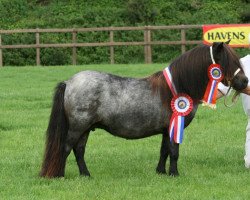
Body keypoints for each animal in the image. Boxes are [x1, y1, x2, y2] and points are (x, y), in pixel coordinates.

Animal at [39, 42, 248, 178]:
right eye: (227, 61)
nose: (245, 82)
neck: (177, 87)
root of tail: (69, 82)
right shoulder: (174, 128)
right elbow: (174, 151)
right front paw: (174, 174)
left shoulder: (167, 129)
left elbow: (164, 151)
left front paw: (161, 172)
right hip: (77, 127)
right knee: (66, 148)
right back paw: (60, 175)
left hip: (85, 128)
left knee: (79, 150)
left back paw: (86, 175)